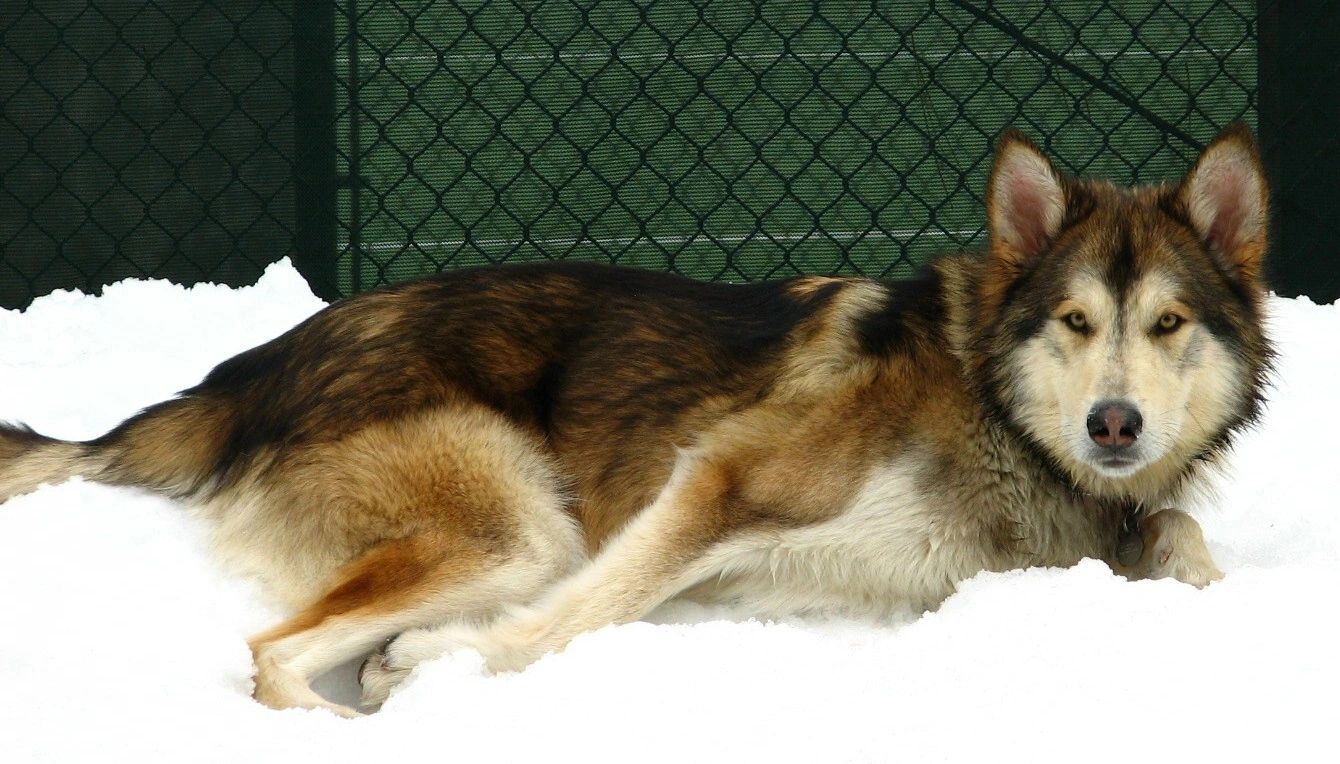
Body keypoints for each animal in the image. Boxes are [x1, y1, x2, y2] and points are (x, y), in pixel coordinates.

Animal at [0, 124, 1271, 717]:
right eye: (1071, 319)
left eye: (1165, 323)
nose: (1113, 424)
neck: (996, 414)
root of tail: (248, 367)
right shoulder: (714, 482)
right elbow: (562, 624)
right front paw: (434, 665)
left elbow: (1180, 535)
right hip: (519, 527)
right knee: (272, 654)